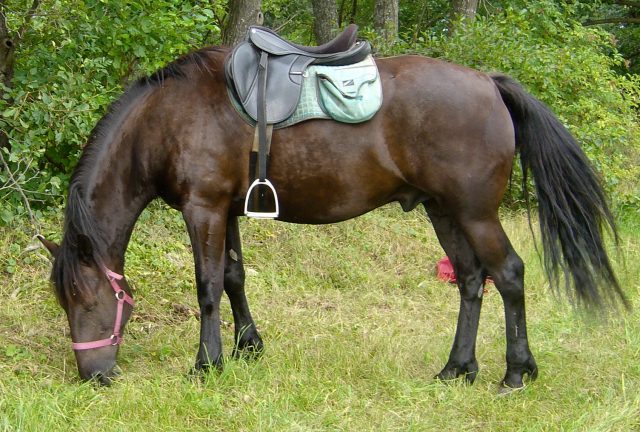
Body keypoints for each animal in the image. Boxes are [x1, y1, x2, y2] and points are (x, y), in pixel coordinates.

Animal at [37, 44, 624, 388]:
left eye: (86, 301)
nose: (91, 376)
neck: (166, 119)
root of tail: (488, 81)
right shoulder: (226, 207)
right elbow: (233, 276)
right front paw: (249, 347)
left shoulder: (202, 208)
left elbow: (206, 286)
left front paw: (207, 364)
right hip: (444, 212)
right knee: (472, 280)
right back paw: (458, 368)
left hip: (475, 213)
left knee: (509, 275)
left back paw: (516, 372)